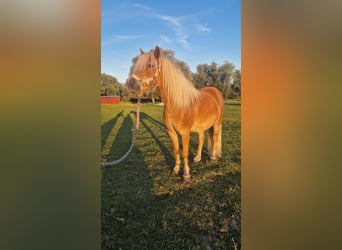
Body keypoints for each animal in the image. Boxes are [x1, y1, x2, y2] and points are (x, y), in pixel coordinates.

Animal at [125, 45, 224, 182]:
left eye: (150, 65)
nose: (130, 84)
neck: (177, 104)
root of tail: (215, 91)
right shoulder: (171, 131)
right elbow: (176, 150)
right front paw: (176, 169)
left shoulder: (185, 132)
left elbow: (185, 152)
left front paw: (186, 174)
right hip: (200, 127)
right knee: (202, 138)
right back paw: (198, 158)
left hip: (217, 123)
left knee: (214, 137)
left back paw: (213, 156)